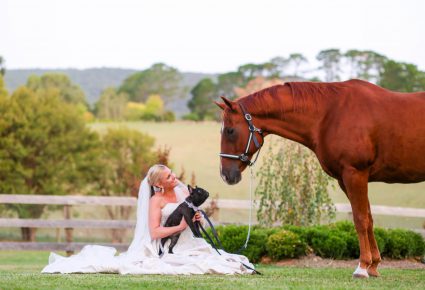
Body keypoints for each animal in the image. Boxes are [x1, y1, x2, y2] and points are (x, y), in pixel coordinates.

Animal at [215, 78, 424, 276]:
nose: (226, 175)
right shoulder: (345, 179)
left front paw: (362, 267)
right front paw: (373, 267)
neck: (331, 114)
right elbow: (369, 219)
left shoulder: (355, 174)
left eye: (230, 131)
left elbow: (360, 219)